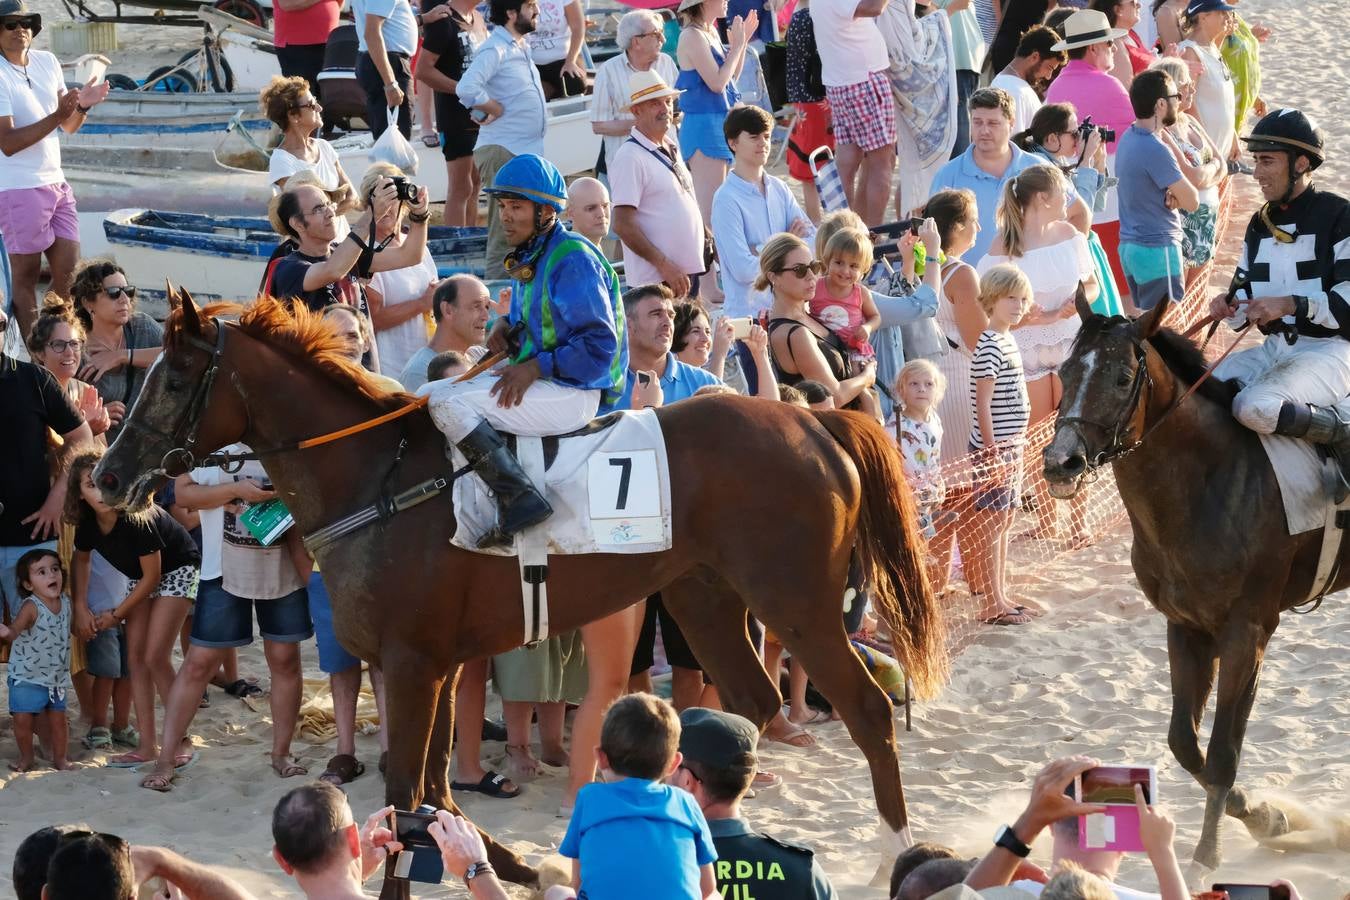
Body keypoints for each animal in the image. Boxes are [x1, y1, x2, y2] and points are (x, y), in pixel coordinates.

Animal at [95, 294, 950, 895]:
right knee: (756, 708)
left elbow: (411, 796)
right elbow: (437, 794)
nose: (106, 476)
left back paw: (898, 852)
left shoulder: (412, 664)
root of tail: (816, 423)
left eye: (174, 378)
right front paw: (524, 865)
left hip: (797, 601)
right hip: (705, 597)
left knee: (866, 708)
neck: (375, 479)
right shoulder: (432, 664)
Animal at [1036, 294, 1333, 879]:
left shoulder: (1247, 633)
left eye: (1122, 376)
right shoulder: (1186, 626)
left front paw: (1206, 853)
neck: (1212, 483)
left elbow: (1222, 751)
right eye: (1065, 372)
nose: (1061, 462)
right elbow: (1184, 744)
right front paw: (1265, 816)